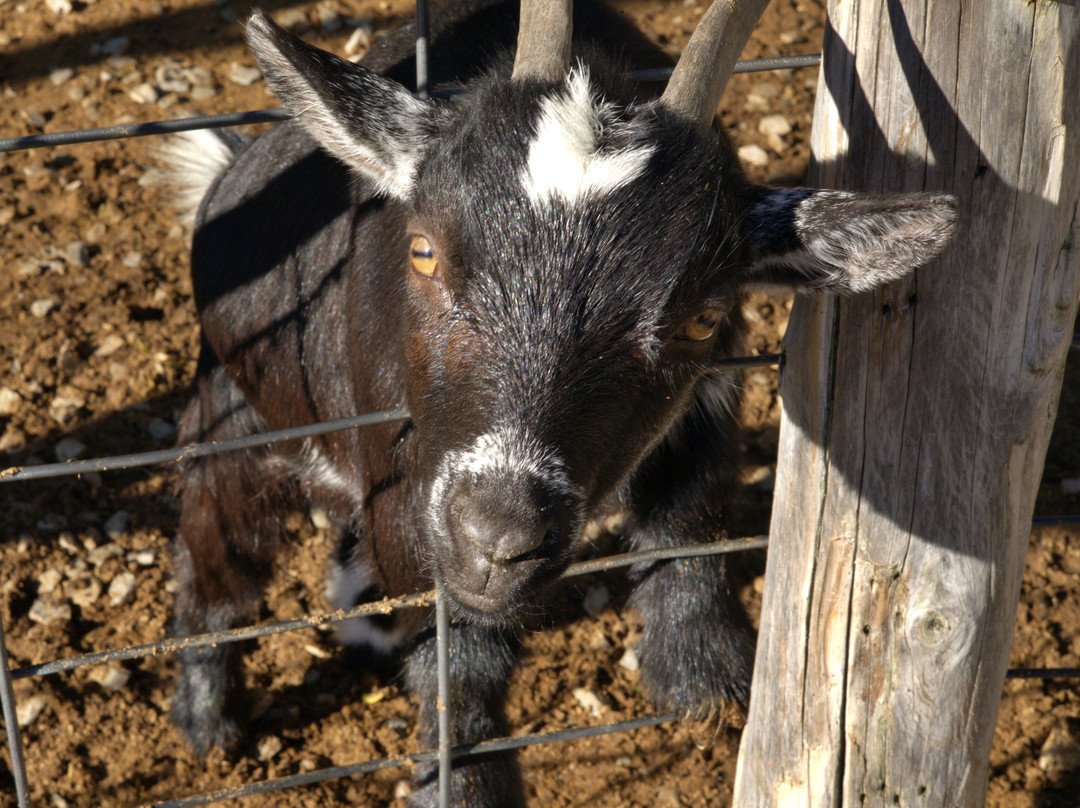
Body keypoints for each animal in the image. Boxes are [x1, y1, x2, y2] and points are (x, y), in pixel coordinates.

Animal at [164, 0, 957, 805]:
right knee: (214, 563)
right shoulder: (406, 482)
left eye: (702, 317)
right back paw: (207, 724)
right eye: (422, 251)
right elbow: (457, 653)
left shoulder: (708, 395)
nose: (496, 537)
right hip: (235, 415)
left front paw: (704, 678)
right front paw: (464, 783)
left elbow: (691, 510)